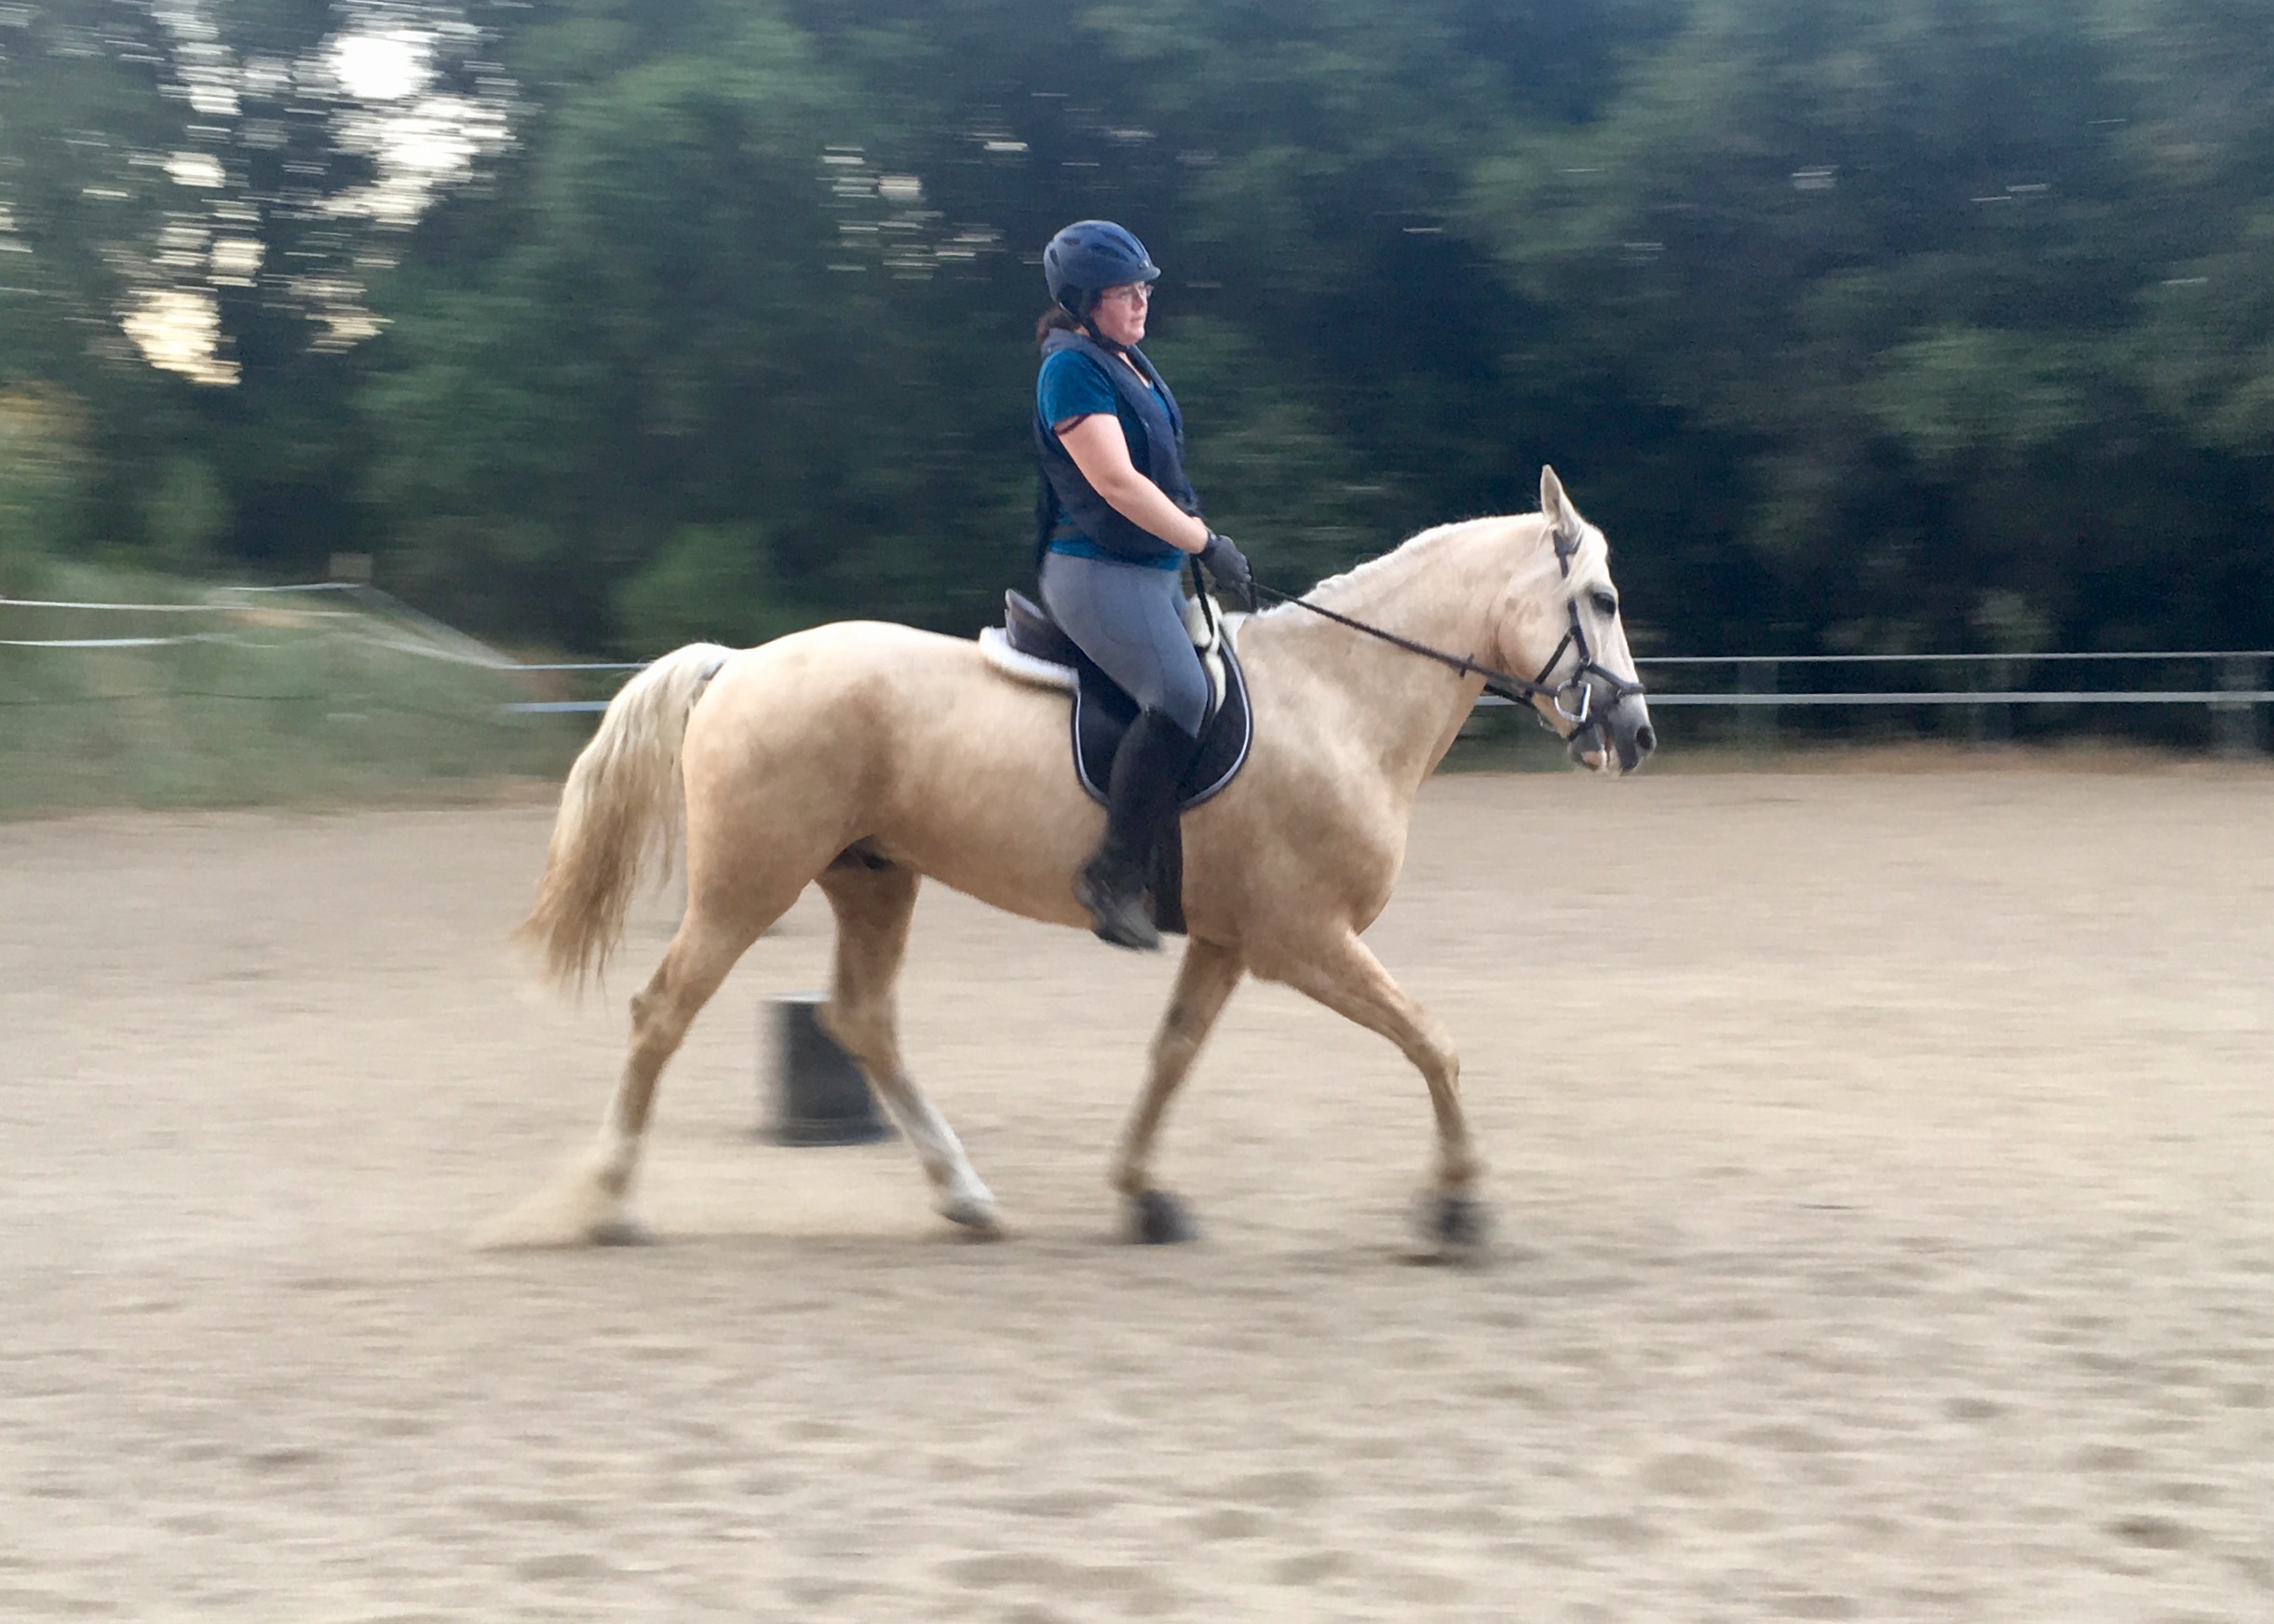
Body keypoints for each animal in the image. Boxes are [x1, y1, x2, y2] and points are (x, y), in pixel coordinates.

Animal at [493, 461, 1655, 1246]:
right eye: (1601, 599)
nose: (1635, 735)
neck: (1337, 698)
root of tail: (736, 664)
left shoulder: (1230, 941)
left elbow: (1173, 1054)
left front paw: (1144, 1194)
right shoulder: (1303, 938)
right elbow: (1433, 1041)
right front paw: (1457, 1204)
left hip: (872, 878)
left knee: (862, 1022)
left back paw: (965, 1197)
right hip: (749, 885)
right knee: (663, 1011)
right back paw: (610, 1202)